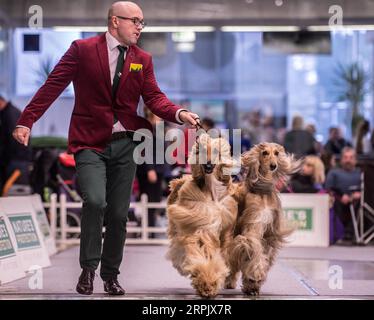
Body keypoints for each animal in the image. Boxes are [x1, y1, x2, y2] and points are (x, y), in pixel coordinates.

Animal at [167, 132, 237, 298]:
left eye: (217, 151)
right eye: (203, 150)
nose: (208, 165)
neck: (211, 189)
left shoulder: (215, 227)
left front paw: (209, 283)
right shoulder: (197, 224)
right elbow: (197, 249)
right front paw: (206, 281)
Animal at [224, 142, 300, 296]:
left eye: (276, 153)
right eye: (264, 153)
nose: (273, 166)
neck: (262, 190)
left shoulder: (271, 233)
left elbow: (265, 253)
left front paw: (253, 284)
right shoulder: (254, 223)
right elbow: (253, 249)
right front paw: (254, 278)